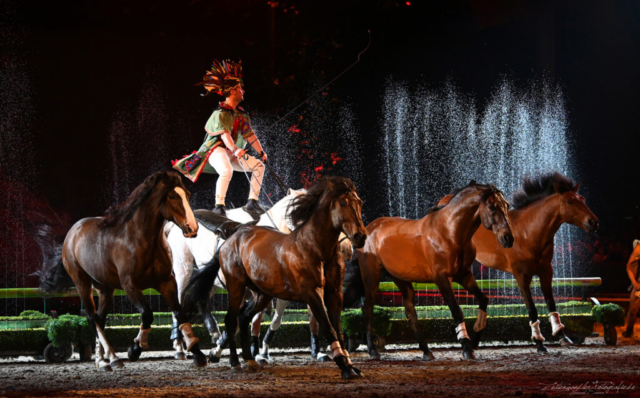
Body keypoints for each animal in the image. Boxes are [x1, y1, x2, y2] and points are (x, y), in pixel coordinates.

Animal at [37, 170, 208, 370]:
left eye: (187, 195)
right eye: (172, 196)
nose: (192, 228)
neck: (141, 241)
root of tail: (72, 232)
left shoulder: (166, 282)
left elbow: (180, 314)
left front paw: (198, 353)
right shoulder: (130, 285)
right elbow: (147, 314)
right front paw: (135, 349)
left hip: (105, 289)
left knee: (100, 319)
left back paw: (102, 360)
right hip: (81, 283)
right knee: (91, 318)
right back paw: (112, 359)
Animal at [190, 177, 368, 380]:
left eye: (360, 202)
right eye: (342, 203)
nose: (360, 237)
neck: (316, 248)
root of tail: (232, 236)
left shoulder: (334, 293)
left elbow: (337, 328)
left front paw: (350, 365)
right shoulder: (312, 293)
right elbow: (328, 327)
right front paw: (344, 365)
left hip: (262, 293)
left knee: (243, 317)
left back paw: (249, 359)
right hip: (236, 287)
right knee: (230, 320)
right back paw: (234, 361)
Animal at [352, 183, 512, 360]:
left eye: (506, 205)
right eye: (491, 206)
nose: (508, 238)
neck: (449, 232)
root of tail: (368, 228)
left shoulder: (463, 274)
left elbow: (483, 298)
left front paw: (476, 336)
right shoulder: (441, 279)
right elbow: (457, 311)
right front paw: (466, 347)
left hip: (401, 278)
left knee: (410, 310)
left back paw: (426, 350)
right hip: (371, 278)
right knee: (368, 309)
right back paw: (372, 350)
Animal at [470, 173, 600, 352]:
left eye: (583, 199)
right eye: (570, 201)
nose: (593, 222)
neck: (529, 231)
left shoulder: (546, 271)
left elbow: (551, 303)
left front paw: (562, 335)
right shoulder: (521, 276)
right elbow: (532, 309)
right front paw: (539, 342)